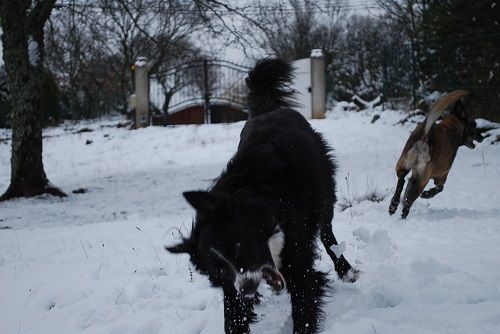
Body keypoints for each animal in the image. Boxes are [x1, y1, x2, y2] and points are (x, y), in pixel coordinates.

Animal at [167, 58, 356, 332]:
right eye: (220, 271)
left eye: (238, 246)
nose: (246, 289)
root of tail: (268, 109)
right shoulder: (233, 288)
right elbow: (233, 317)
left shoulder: (298, 260)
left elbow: (304, 305)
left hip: (325, 189)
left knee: (327, 233)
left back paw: (346, 270)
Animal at [388, 90, 482, 218]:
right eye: (474, 125)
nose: (482, 137)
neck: (453, 128)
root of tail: (426, 134)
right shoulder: (442, 175)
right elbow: (440, 188)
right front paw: (428, 194)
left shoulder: (414, 175)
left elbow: (408, 189)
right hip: (423, 179)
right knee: (409, 201)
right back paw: (404, 214)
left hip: (403, 164)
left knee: (401, 180)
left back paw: (394, 205)